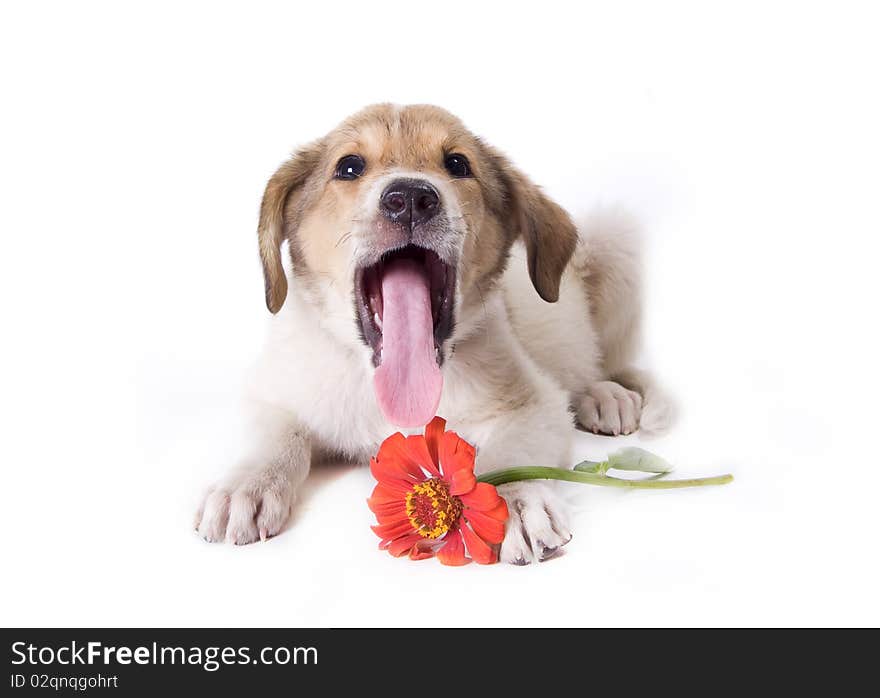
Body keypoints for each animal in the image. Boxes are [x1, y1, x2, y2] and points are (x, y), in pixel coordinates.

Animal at [196, 102, 672, 560]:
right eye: (349, 166)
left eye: (458, 163)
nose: (409, 198)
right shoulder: (273, 391)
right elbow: (278, 436)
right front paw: (248, 483)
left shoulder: (533, 404)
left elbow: (512, 454)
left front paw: (512, 499)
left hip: (613, 247)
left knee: (598, 366)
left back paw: (603, 396)